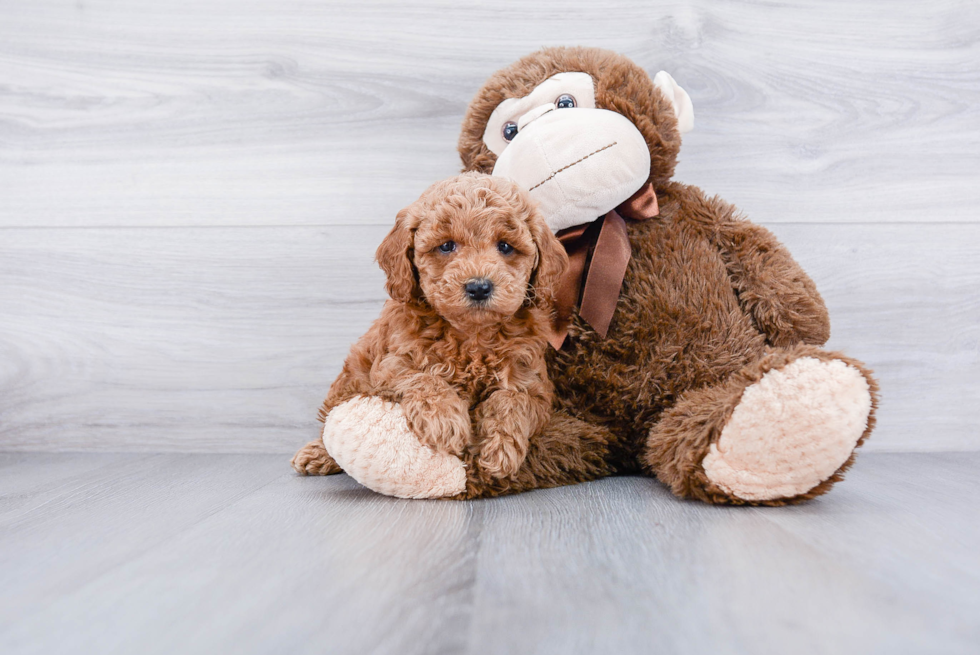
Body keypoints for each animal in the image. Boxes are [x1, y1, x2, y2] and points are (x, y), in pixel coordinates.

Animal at [290, 173, 568, 482]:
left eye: (505, 246)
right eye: (446, 246)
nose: (479, 287)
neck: (472, 336)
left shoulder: (536, 388)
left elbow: (512, 399)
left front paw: (501, 447)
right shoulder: (390, 366)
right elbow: (424, 378)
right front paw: (444, 421)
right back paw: (318, 454)